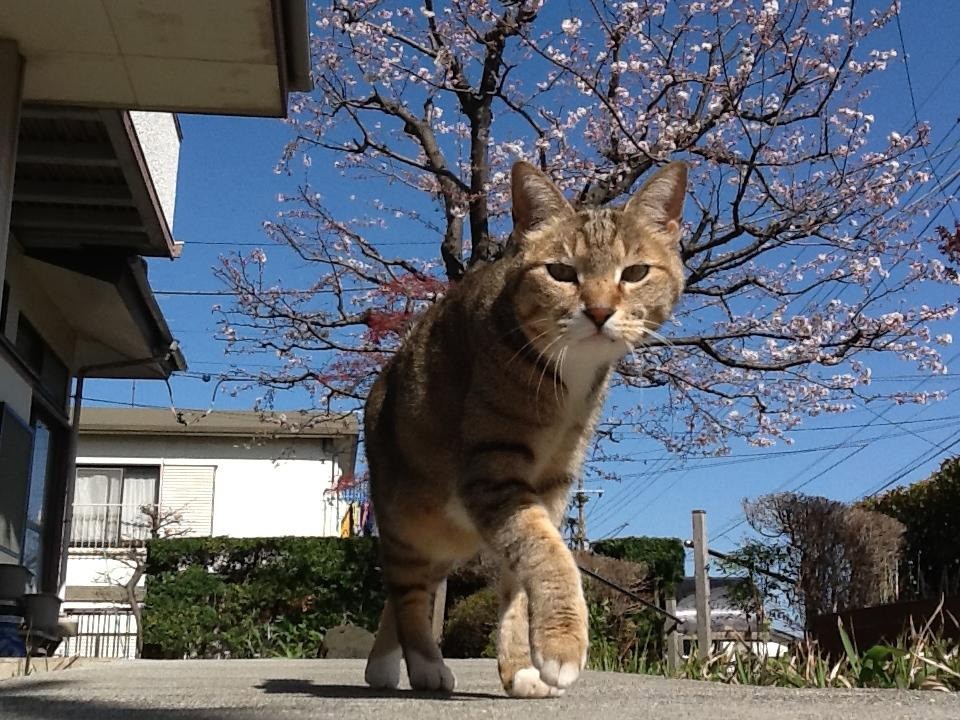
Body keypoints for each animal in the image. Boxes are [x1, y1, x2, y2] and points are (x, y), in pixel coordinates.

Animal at [364, 159, 688, 696]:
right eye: (561, 272)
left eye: (636, 272)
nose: (599, 311)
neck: (570, 374)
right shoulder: (492, 475)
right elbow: (548, 554)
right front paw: (562, 647)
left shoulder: (553, 483)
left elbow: (522, 577)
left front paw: (520, 667)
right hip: (409, 517)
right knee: (406, 588)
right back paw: (423, 663)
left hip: (448, 537)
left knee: (411, 585)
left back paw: (384, 665)